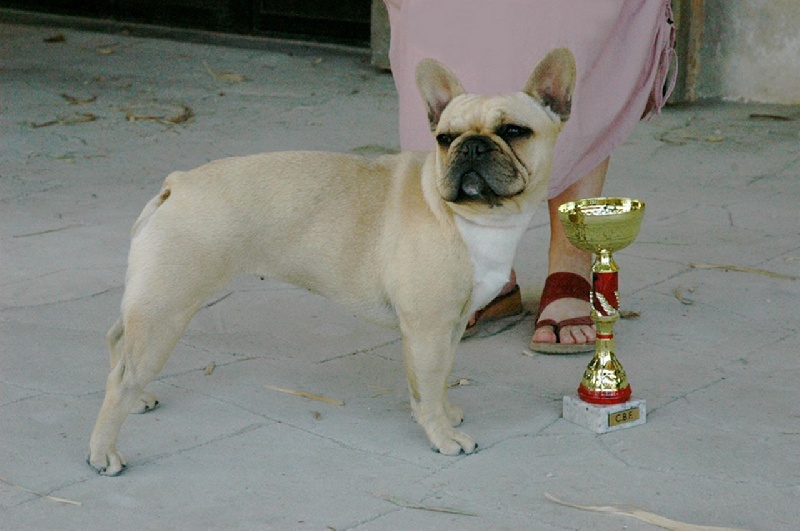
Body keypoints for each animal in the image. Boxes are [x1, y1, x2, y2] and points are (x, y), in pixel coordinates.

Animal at [87, 47, 576, 476]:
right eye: (445, 139)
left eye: (513, 132)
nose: (472, 146)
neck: (472, 217)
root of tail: (178, 184)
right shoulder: (429, 328)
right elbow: (430, 381)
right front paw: (441, 436)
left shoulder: (448, 327)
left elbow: (436, 381)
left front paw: (443, 412)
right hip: (166, 309)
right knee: (121, 377)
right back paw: (103, 451)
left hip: (151, 298)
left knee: (116, 340)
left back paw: (136, 400)